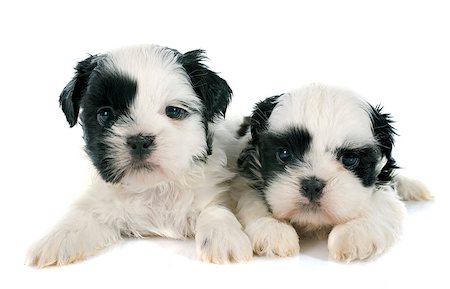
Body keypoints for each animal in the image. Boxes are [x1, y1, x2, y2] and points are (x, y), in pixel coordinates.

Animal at [27, 45, 253, 268]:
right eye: (105, 114)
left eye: (173, 111)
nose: (139, 141)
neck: (154, 188)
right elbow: (83, 214)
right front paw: (57, 238)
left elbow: (214, 209)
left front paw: (223, 237)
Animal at [232, 83, 432, 260]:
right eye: (284, 154)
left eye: (350, 159)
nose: (312, 186)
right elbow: (252, 200)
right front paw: (272, 228)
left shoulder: (383, 180)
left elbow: (382, 202)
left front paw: (354, 232)